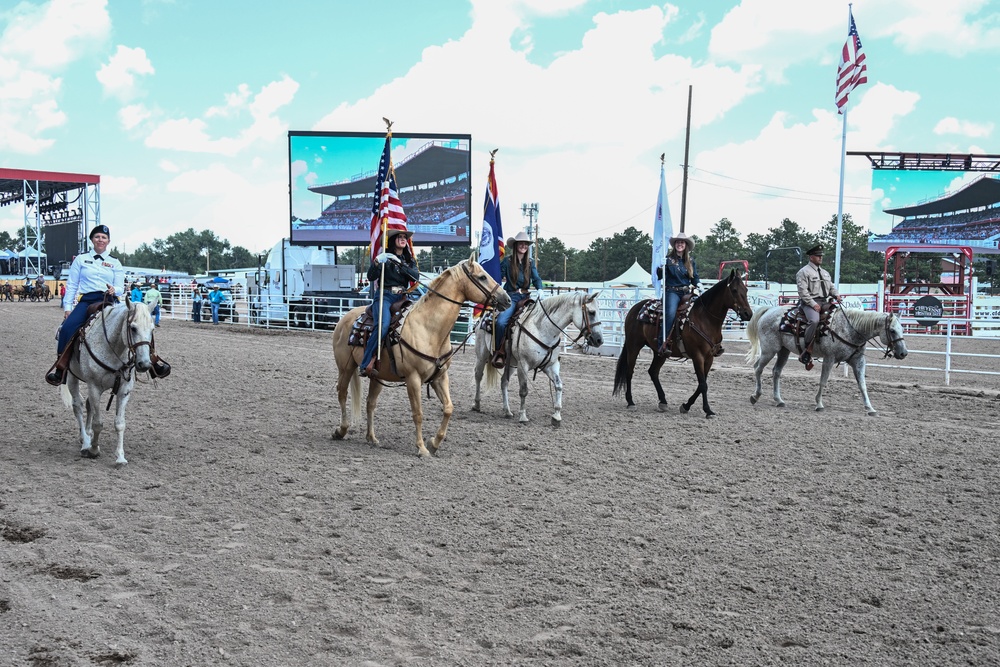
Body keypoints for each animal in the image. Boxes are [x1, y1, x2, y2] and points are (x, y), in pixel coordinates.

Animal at [61, 300, 155, 468]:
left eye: (152, 329)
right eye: (133, 328)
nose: (144, 364)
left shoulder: (124, 390)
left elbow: (119, 423)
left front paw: (120, 457)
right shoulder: (94, 387)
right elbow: (98, 423)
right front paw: (93, 450)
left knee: (88, 405)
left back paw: (87, 435)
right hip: (72, 377)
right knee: (77, 405)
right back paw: (85, 443)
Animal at [332, 258, 512, 460]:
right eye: (482, 277)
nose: (507, 299)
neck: (429, 328)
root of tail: (345, 318)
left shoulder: (439, 377)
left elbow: (448, 408)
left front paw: (434, 443)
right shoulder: (413, 379)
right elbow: (417, 413)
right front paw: (422, 448)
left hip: (376, 376)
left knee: (370, 403)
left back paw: (372, 438)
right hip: (345, 368)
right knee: (342, 393)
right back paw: (341, 430)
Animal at [474, 290, 604, 426]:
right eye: (592, 312)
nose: (599, 340)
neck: (542, 329)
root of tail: (484, 318)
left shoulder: (551, 365)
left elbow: (559, 385)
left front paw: (556, 416)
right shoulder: (523, 365)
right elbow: (524, 390)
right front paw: (523, 416)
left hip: (511, 364)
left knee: (504, 381)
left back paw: (507, 411)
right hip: (481, 356)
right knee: (478, 376)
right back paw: (477, 404)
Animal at [612, 270, 752, 418]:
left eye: (746, 289)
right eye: (734, 290)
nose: (748, 314)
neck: (705, 319)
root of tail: (635, 308)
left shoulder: (709, 358)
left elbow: (702, 383)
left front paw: (686, 406)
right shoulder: (697, 356)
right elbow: (703, 384)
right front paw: (707, 410)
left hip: (660, 352)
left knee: (653, 372)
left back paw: (663, 401)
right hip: (634, 345)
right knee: (629, 371)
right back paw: (631, 402)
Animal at [748, 306, 912, 414]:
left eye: (903, 329)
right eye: (892, 330)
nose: (903, 353)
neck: (850, 330)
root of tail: (769, 310)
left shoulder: (858, 361)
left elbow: (863, 385)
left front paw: (870, 408)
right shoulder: (829, 359)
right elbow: (823, 381)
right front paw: (819, 404)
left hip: (784, 351)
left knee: (776, 372)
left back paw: (779, 400)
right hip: (769, 350)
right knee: (758, 368)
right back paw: (755, 396)